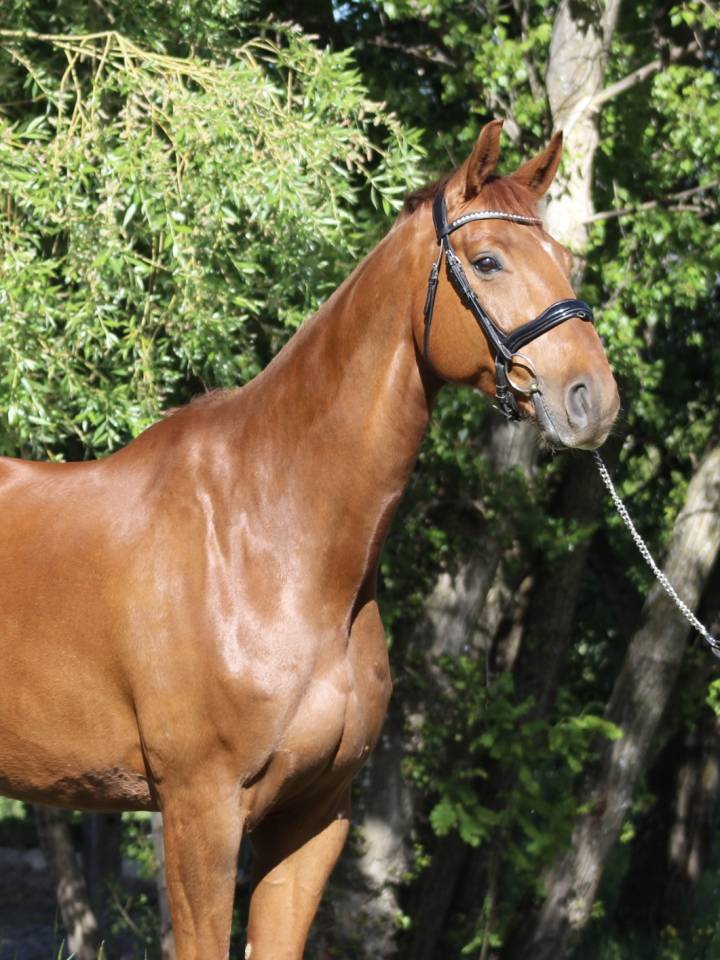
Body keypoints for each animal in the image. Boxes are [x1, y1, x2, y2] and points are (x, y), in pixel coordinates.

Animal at [0, 120, 619, 959]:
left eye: (562, 258)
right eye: (488, 260)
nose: (593, 400)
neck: (270, 537)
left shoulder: (316, 815)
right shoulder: (200, 810)